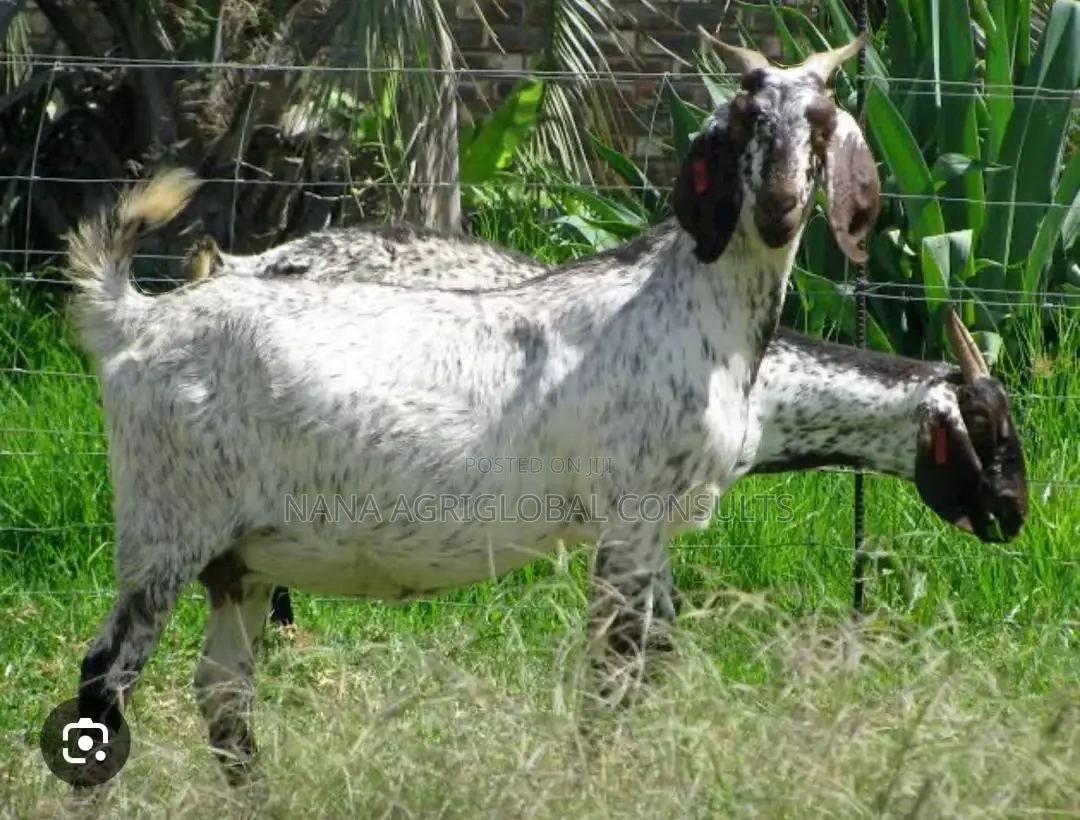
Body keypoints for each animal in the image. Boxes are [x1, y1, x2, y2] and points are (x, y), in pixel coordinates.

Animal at [61, 35, 880, 786]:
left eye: (821, 121)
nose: (778, 210)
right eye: (745, 120)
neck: (689, 304)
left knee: (222, 690)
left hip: (241, 557)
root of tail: (134, 320)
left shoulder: (658, 530)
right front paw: (597, 783)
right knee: (104, 676)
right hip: (166, 529)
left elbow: (653, 662)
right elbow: (613, 672)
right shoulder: (632, 515)